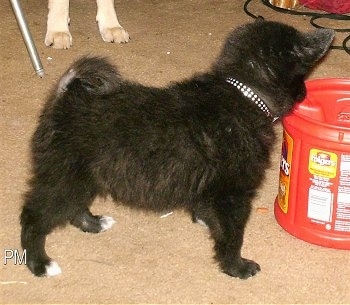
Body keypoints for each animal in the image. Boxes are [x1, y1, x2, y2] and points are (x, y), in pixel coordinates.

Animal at [19, 19, 334, 278]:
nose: (306, 93)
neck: (244, 93)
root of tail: (65, 97)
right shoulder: (232, 193)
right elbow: (233, 235)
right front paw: (236, 266)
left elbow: (207, 210)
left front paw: (205, 221)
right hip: (65, 176)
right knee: (34, 217)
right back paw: (40, 263)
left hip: (83, 177)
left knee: (73, 207)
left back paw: (93, 223)